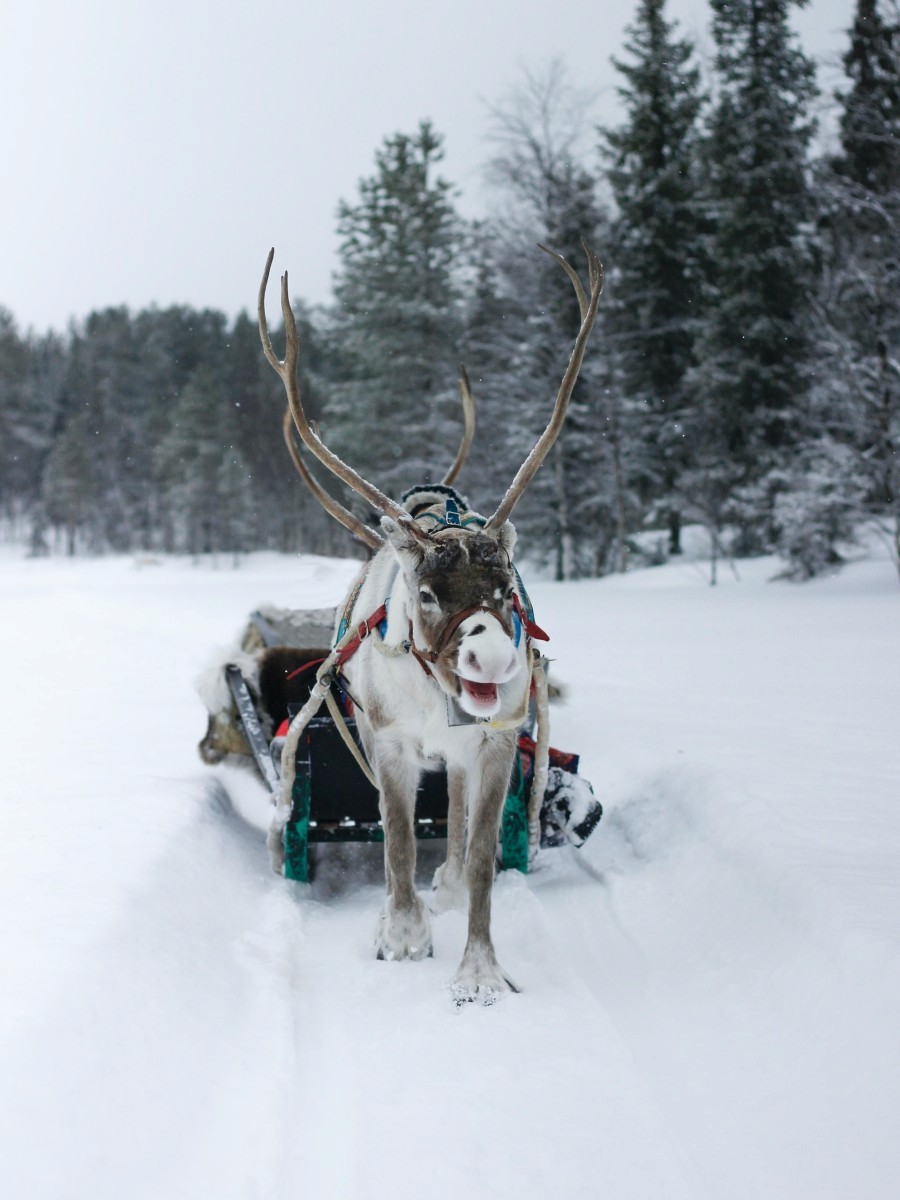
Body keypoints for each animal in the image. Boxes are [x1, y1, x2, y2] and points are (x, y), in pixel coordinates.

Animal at [258, 244, 602, 1002]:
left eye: (505, 588)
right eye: (426, 592)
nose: (494, 662)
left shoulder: (495, 745)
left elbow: (478, 857)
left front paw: (479, 971)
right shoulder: (386, 743)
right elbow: (396, 842)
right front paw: (402, 935)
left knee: (459, 818)